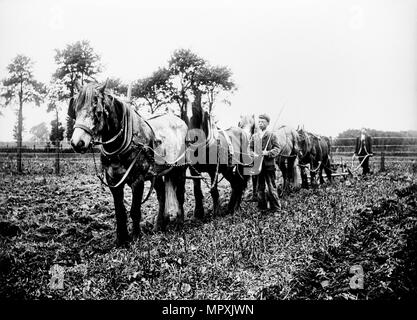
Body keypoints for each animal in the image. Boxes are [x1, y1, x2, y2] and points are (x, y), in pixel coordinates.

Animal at [68, 81, 187, 246]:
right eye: (76, 109)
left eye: (98, 112)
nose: (77, 143)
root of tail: (179, 120)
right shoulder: (113, 181)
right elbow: (120, 211)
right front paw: (121, 239)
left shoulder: (138, 180)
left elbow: (135, 210)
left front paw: (136, 237)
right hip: (156, 173)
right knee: (161, 194)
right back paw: (159, 226)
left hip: (180, 168)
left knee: (180, 194)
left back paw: (180, 223)